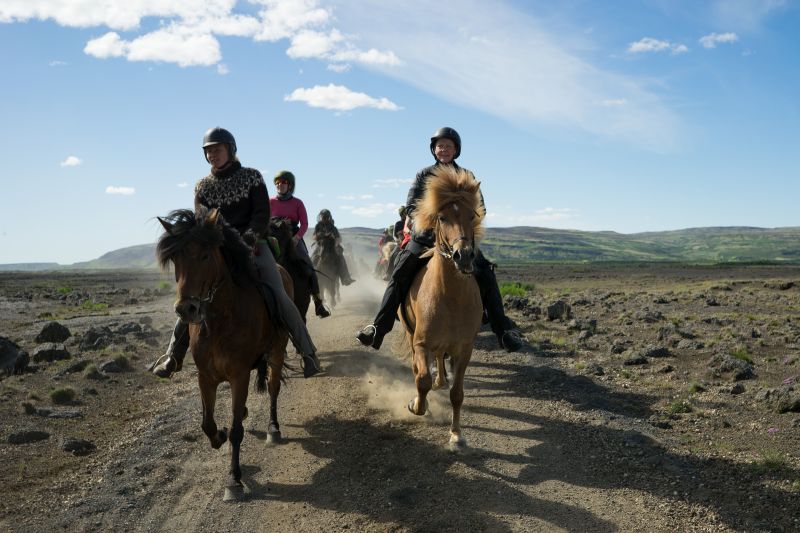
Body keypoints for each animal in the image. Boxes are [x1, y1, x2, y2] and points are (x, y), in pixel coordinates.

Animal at [155, 208, 290, 498]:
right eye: (175, 259)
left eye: (206, 255)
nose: (186, 309)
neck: (219, 321)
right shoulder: (205, 376)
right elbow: (207, 423)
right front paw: (219, 436)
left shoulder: (239, 375)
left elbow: (237, 429)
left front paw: (233, 479)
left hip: (277, 351)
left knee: (273, 388)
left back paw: (273, 429)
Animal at [404, 165, 484, 448]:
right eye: (442, 217)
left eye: (472, 215)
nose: (465, 255)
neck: (450, 297)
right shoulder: (421, 343)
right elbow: (422, 380)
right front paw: (417, 406)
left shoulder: (465, 349)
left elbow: (457, 393)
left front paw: (456, 435)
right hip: (409, 332)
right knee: (418, 368)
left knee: (439, 360)